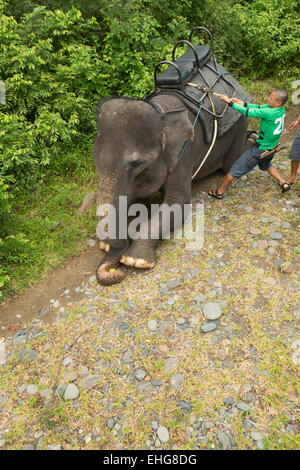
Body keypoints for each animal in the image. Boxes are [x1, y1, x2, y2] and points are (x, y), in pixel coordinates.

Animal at [92, 90, 254, 284]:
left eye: (136, 163)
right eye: (94, 156)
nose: (117, 270)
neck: (160, 111)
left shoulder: (184, 152)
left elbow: (178, 203)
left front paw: (135, 260)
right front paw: (107, 245)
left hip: (240, 125)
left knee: (231, 163)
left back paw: (255, 140)